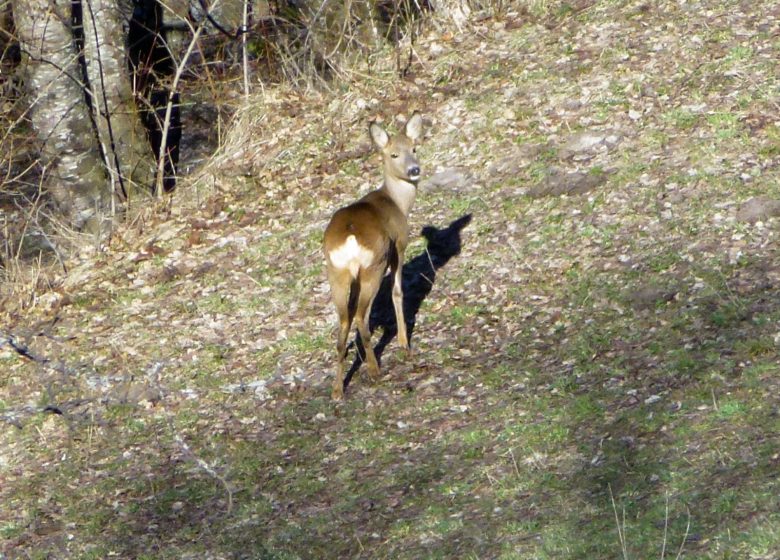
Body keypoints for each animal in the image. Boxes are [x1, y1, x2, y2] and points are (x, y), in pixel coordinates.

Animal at [322, 111, 424, 400]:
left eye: (414, 149)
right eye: (394, 154)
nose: (414, 170)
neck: (397, 202)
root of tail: (350, 235)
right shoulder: (399, 246)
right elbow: (398, 292)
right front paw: (403, 343)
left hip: (337, 273)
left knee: (344, 320)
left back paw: (338, 390)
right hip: (373, 266)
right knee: (360, 315)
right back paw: (374, 370)